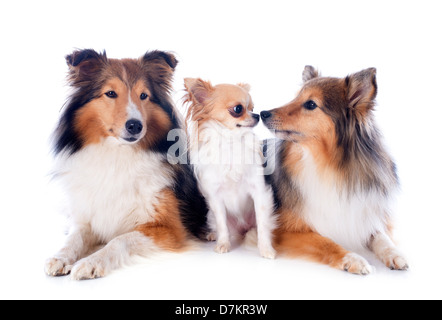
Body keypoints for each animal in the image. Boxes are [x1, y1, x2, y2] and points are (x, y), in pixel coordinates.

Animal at [45, 48, 209, 278]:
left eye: (144, 95)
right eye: (110, 93)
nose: (135, 126)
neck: (117, 154)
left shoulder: (168, 228)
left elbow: (119, 239)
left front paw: (91, 262)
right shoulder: (86, 217)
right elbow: (73, 238)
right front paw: (60, 257)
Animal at [184, 79, 276, 258]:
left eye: (252, 108)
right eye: (238, 109)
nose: (257, 115)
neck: (231, 142)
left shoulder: (260, 192)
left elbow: (263, 224)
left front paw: (266, 249)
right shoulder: (215, 198)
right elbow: (222, 225)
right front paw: (223, 244)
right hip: (211, 215)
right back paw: (213, 235)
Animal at [260, 65, 410, 276]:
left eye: (311, 104)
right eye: (295, 97)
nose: (263, 113)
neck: (326, 166)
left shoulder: (364, 211)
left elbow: (382, 236)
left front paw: (396, 254)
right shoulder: (283, 229)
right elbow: (325, 242)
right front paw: (353, 258)